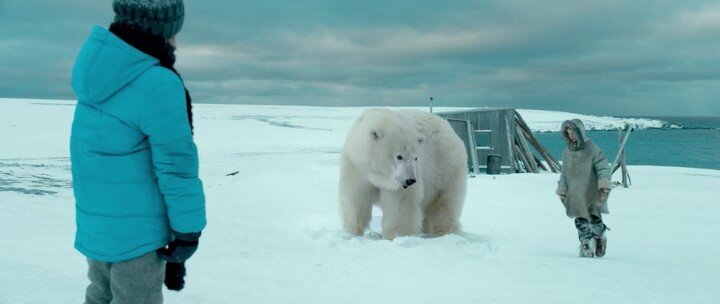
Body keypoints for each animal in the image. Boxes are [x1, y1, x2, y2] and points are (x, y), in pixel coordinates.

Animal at [340, 108, 470, 240]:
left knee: (444, 202)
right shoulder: (356, 165)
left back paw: (444, 232)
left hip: (445, 166)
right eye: (399, 156)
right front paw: (352, 232)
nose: (410, 180)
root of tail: (448, 127)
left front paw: (396, 236)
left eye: (415, 157)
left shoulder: (399, 182)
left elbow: (401, 203)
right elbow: (355, 198)